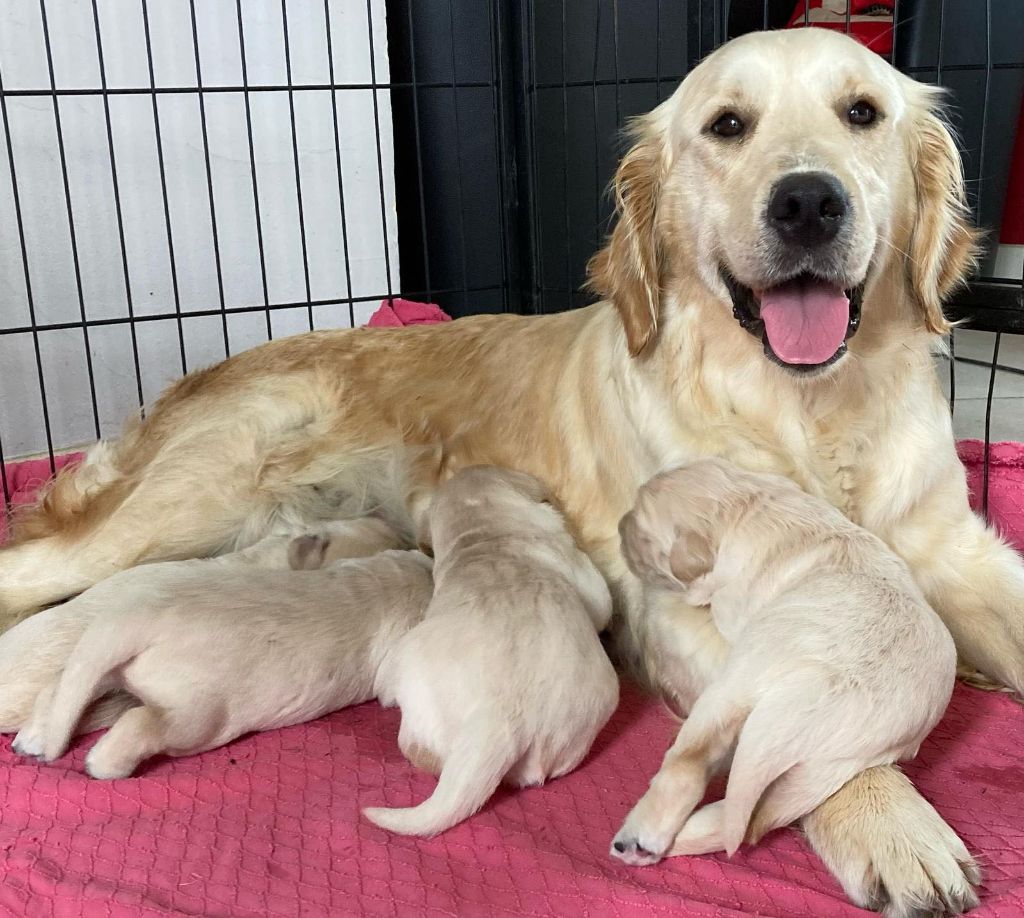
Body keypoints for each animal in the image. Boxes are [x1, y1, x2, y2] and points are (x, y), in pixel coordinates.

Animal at [12, 520, 428, 778]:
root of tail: (133, 621)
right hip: (195, 714)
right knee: (141, 724)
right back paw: (102, 765)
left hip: (93, 669)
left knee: (60, 689)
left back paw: (32, 737)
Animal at [610, 463, 954, 864]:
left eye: (639, 528)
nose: (619, 525)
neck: (748, 502)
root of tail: (814, 697)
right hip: (833, 766)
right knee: (754, 816)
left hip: (734, 686)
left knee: (689, 763)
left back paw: (637, 839)